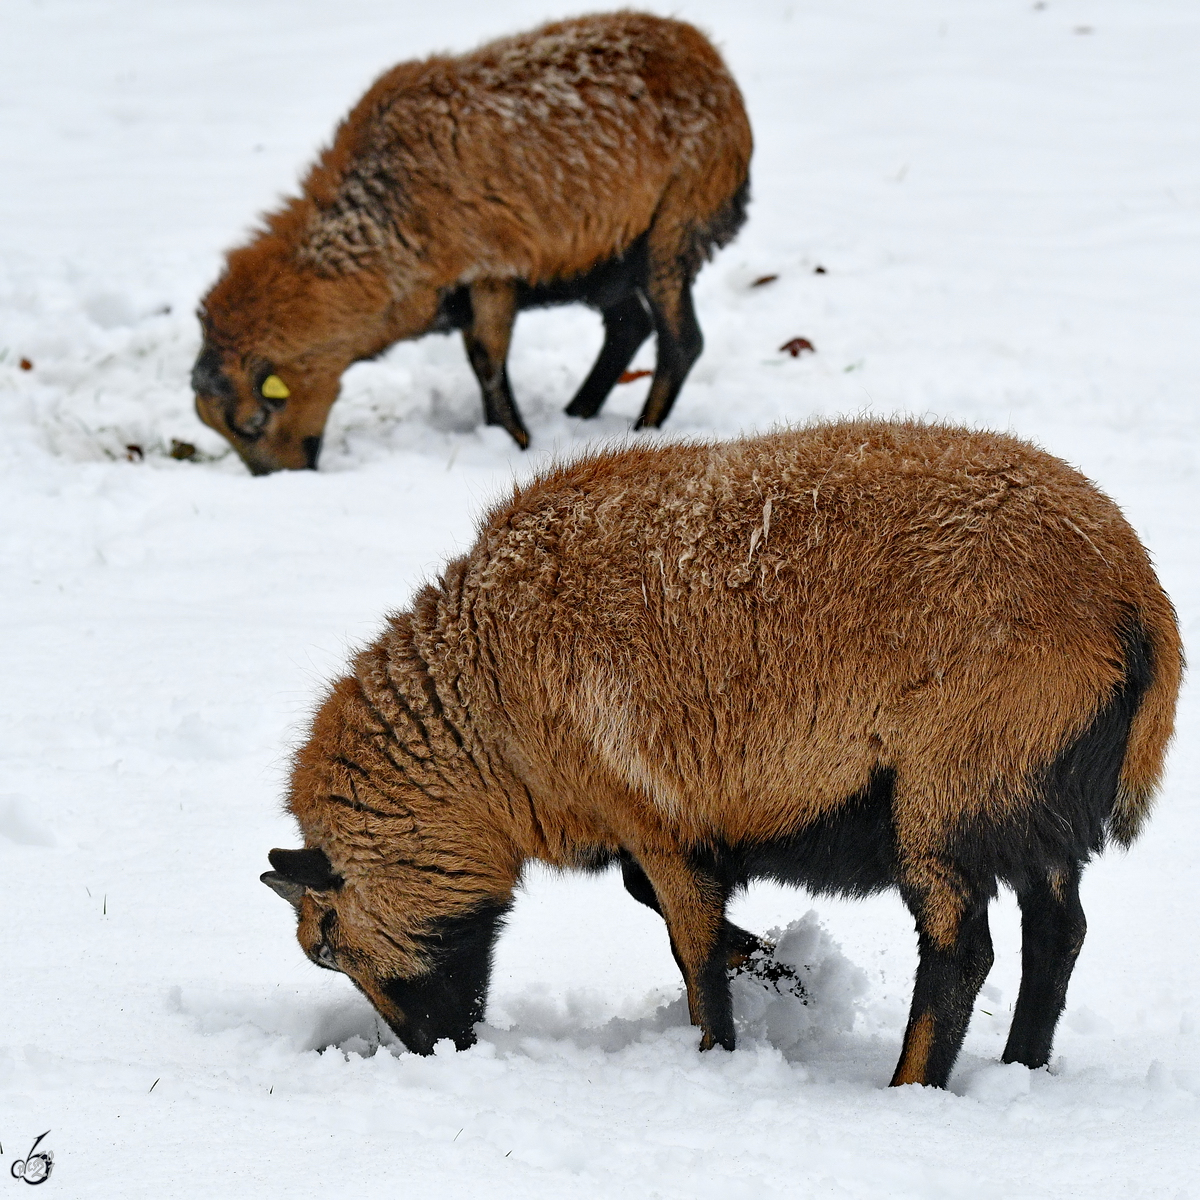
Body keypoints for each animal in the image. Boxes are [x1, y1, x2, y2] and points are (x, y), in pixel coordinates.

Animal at [192, 14, 748, 475]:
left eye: (252, 422)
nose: (280, 480)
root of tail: (708, 53)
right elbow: (482, 362)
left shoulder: (491, 269)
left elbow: (487, 360)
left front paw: (514, 440)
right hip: (605, 258)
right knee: (628, 327)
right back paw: (578, 415)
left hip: (674, 226)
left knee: (681, 341)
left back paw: (640, 433)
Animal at [258, 422, 1176, 1089]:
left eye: (327, 946)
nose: (435, 1053)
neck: (485, 721)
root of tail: (1136, 598)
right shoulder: (673, 821)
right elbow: (663, 910)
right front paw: (779, 971)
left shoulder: (653, 815)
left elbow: (688, 948)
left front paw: (719, 1052)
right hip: (1034, 795)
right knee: (1058, 931)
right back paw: (1023, 1069)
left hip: (952, 788)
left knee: (962, 950)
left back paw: (910, 1088)